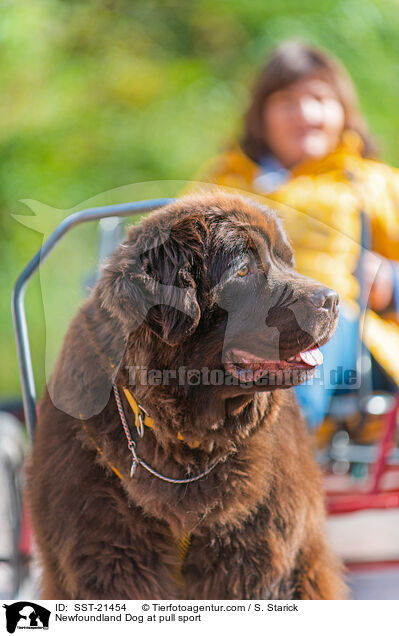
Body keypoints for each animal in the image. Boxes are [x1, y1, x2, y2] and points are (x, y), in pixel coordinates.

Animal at [28, 191, 346, 600]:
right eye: (243, 270)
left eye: (286, 260)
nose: (332, 300)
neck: (188, 440)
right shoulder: (108, 554)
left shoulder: (254, 555)